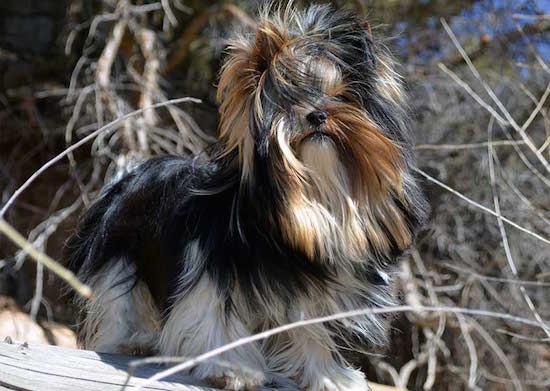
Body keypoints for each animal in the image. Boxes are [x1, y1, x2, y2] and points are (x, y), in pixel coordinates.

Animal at [66, 3, 432, 391]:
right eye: (287, 100)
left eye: (341, 96)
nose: (317, 115)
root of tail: (130, 174)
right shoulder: (211, 269)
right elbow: (214, 315)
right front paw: (233, 370)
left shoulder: (310, 289)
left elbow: (311, 331)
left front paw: (329, 375)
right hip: (119, 252)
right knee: (119, 299)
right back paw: (131, 341)